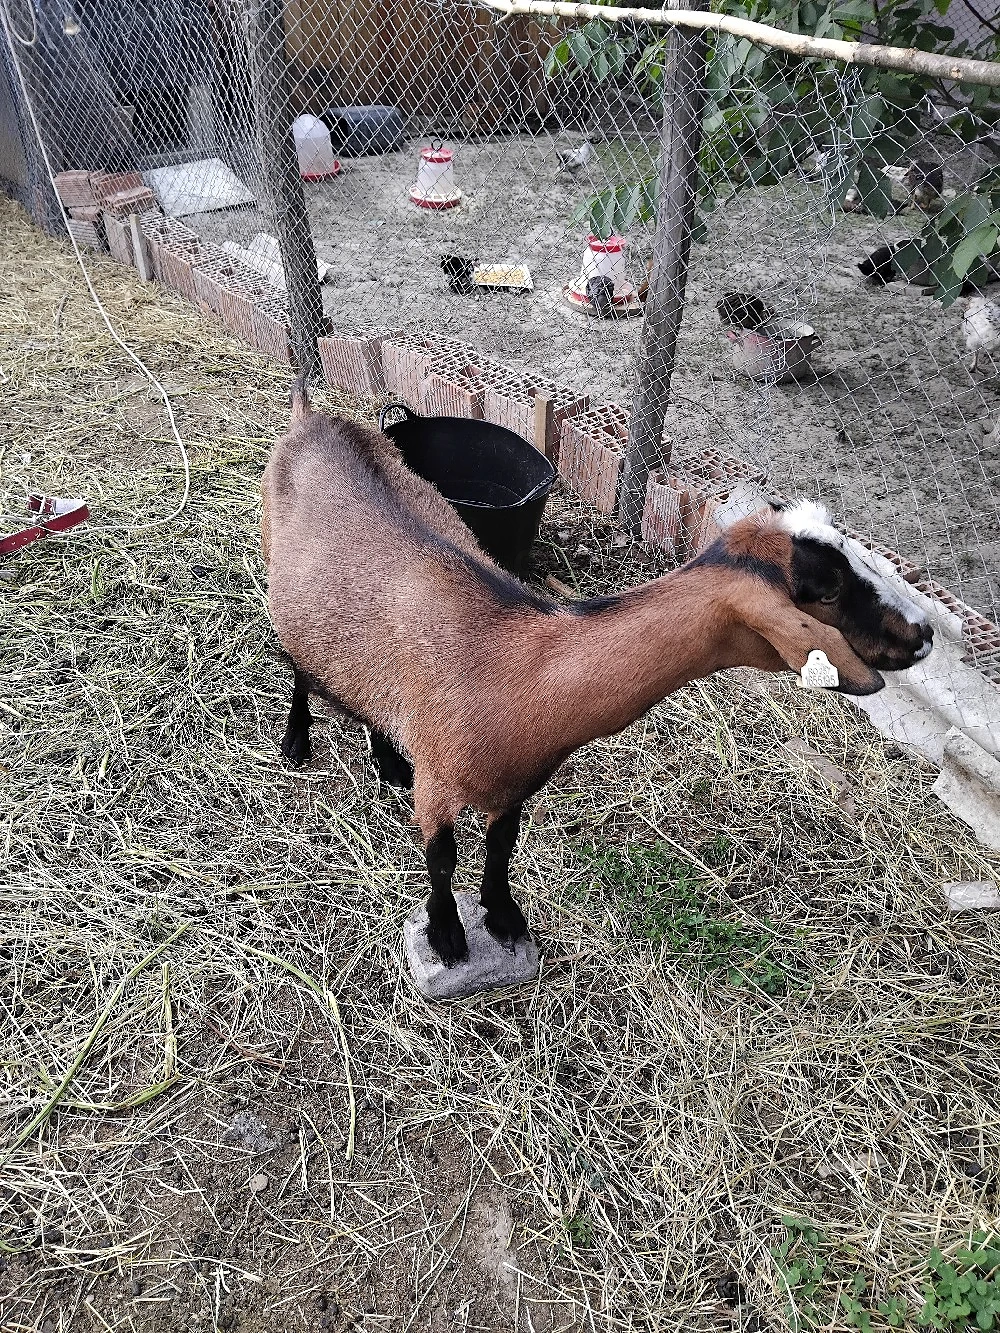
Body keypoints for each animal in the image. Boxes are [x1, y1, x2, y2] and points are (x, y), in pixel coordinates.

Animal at [261, 384, 933, 968]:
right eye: (829, 587)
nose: (924, 635)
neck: (519, 667)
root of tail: (311, 416)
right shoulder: (441, 786)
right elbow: (443, 859)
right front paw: (448, 935)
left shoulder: (516, 785)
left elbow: (501, 850)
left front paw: (504, 919)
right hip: (282, 582)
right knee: (298, 665)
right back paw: (297, 741)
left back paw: (388, 760)